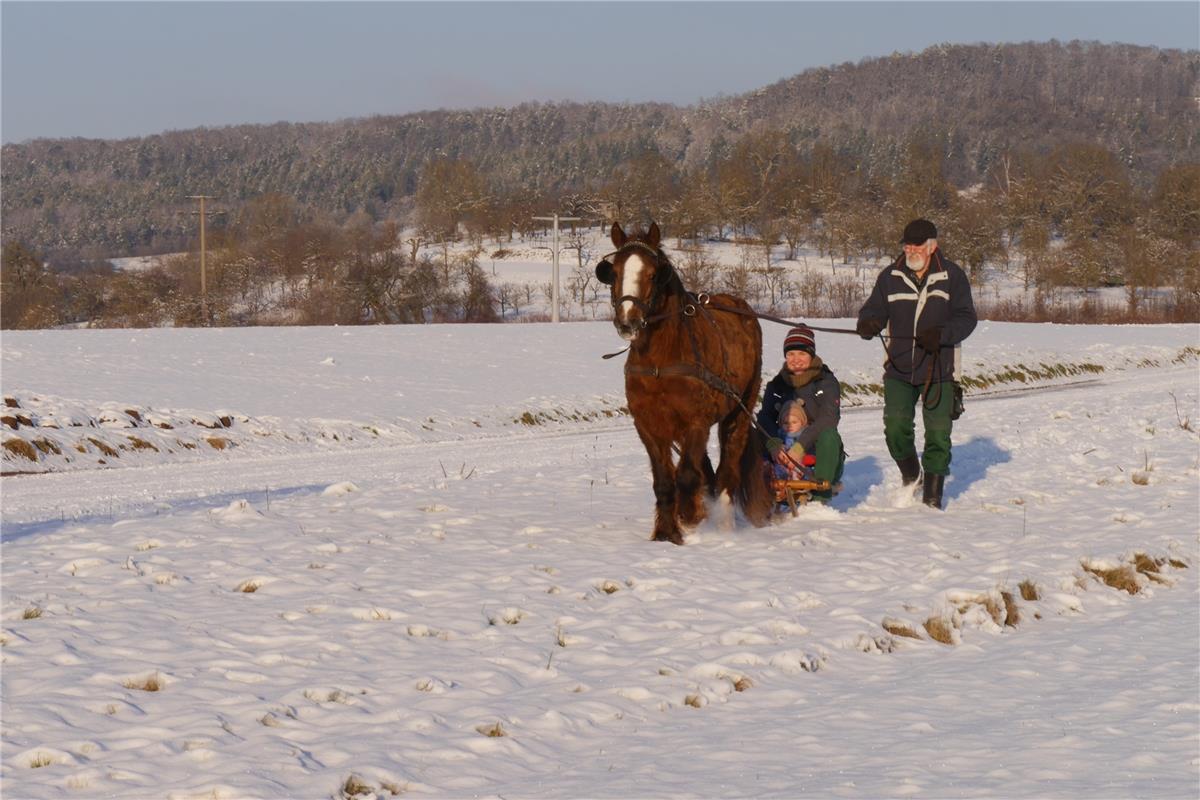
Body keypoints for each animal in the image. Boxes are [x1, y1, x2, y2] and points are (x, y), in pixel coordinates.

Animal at [595, 221, 772, 542]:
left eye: (654, 274)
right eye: (613, 273)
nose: (627, 322)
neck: (659, 363)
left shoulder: (696, 421)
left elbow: (688, 476)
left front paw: (690, 516)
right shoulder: (649, 425)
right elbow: (664, 481)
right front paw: (666, 533)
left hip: (739, 411)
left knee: (727, 471)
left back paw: (723, 524)